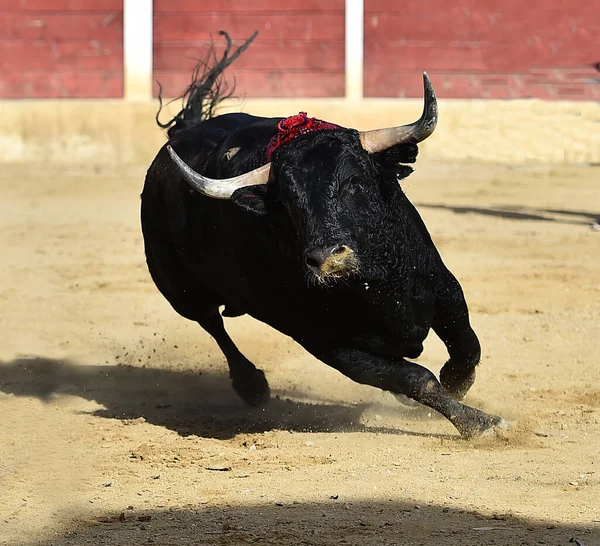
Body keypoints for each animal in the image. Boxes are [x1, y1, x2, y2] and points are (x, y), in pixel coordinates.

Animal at [139, 34, 502, 436]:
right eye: (286, 200)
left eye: (355, 182)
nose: (328, 257)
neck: (374, 283)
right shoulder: (328, 342)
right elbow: (413, 378)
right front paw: (479, 423)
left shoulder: (441, 284)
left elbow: (466, 342)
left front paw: (458, 383)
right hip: (180, 290)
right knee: (212, 324)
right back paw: (252, 385)